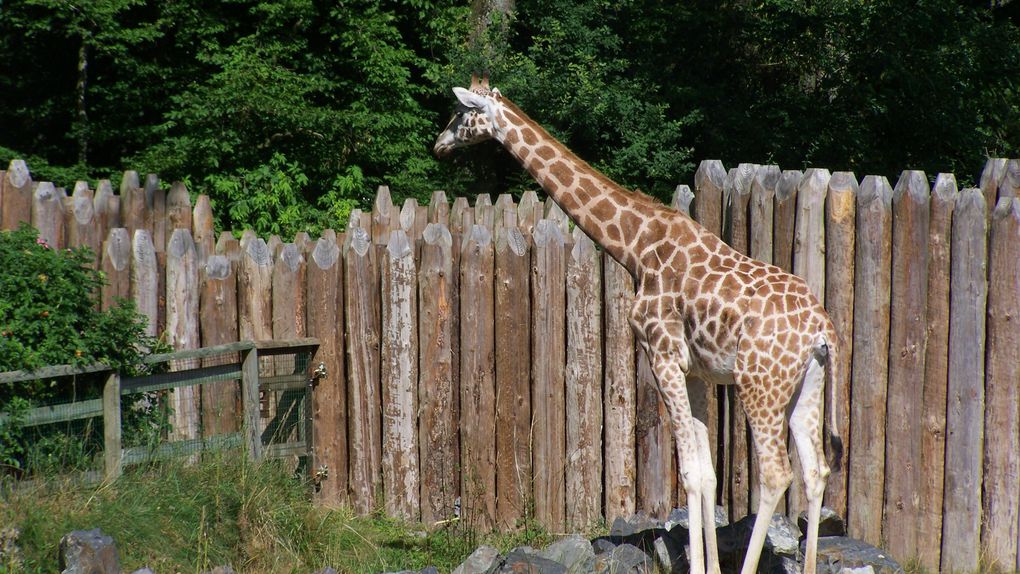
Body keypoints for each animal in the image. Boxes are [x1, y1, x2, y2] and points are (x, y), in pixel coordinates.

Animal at [434, 76, 840, 574]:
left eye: (459, 114)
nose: (439, 146)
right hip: (807, 384)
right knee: (816, 471)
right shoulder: (695, 372)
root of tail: (822, 329)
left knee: (777, 473)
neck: (635, 245)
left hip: (760, 384)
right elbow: (707, 474)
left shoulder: (660, 356)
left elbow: (688, 473)